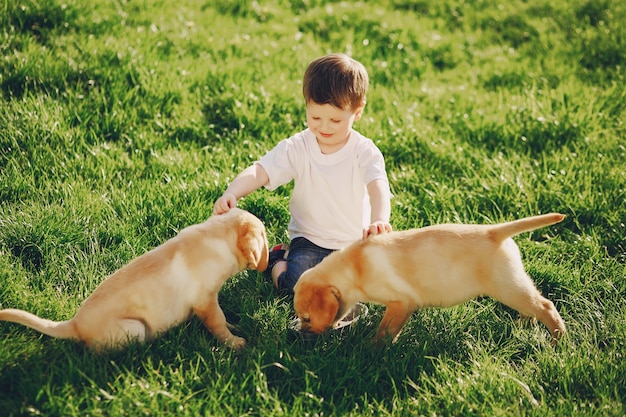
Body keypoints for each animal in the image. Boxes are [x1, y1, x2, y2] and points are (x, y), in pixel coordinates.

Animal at [0, 208, 266, 352]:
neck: (217, 235)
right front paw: (234, 342)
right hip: (134, 328)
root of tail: (73, 324)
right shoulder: (206, 301)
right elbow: (218, 322)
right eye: (263, 235)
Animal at [292, 213, 564, 342]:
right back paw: (523, 327)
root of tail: (494, 232)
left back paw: (557, 342)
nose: (302, 335)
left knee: (546, 306)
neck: (353, 268)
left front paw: (371, 352)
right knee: (531, 307)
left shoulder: (401, 303)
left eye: (306, 318)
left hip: (506, 286)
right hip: (513, 284)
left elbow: (384, 333)